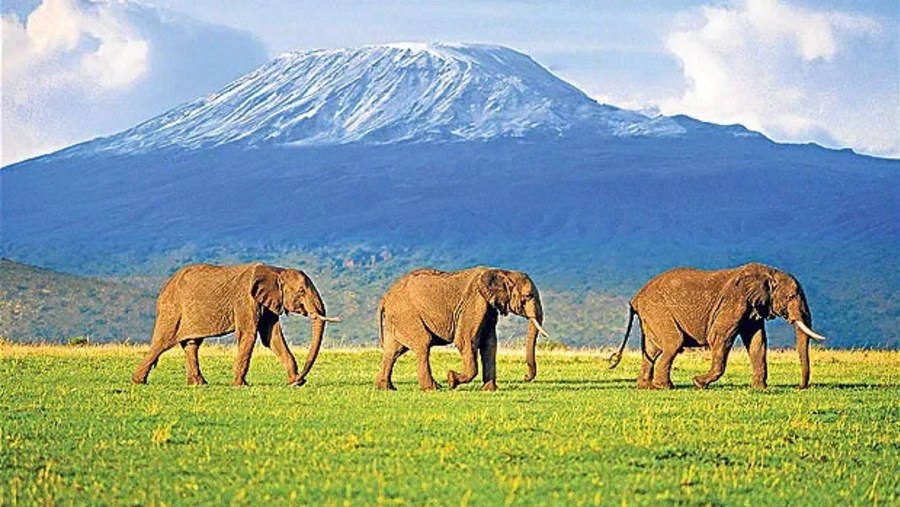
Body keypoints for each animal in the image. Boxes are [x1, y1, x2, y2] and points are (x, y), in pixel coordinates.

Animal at [134, 264, 342, 386]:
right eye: (301, 291)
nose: (302, 378)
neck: (276, 270)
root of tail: (165, 286)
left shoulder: (268, 302)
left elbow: (271, 337)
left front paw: (294, 383)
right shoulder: (245, 300)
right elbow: (249, 334)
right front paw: (241, 386)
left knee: (192, 344)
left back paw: (199, 384)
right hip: (172, 309)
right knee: (162, 342)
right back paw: (138, 381)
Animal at [372, 266, 548, 392]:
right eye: (528, 296)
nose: (525, 377)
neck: (502, 271)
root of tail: (385, 297)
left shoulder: (489, 308)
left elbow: (489, 345)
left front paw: (489, 390)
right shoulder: (475, 302)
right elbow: (465, 341)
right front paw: (452, 380)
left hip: (397, 318)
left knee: (393, 351)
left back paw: (386, 388)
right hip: (407, 314)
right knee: (422, 345)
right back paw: (432, 388)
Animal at [608, 264, 828, 390]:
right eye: (791, 296)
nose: (799, 388)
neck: (769, 273)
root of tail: (635, 298)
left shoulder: (753, 307)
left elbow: (757, 342)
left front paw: (760, 389)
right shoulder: (735, 301)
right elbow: (720, 337)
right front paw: (698, 383)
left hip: (652, 315)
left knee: (652, 350)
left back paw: (647, 387)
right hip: (658, 310)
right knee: (673, 344)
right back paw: (666, 387)